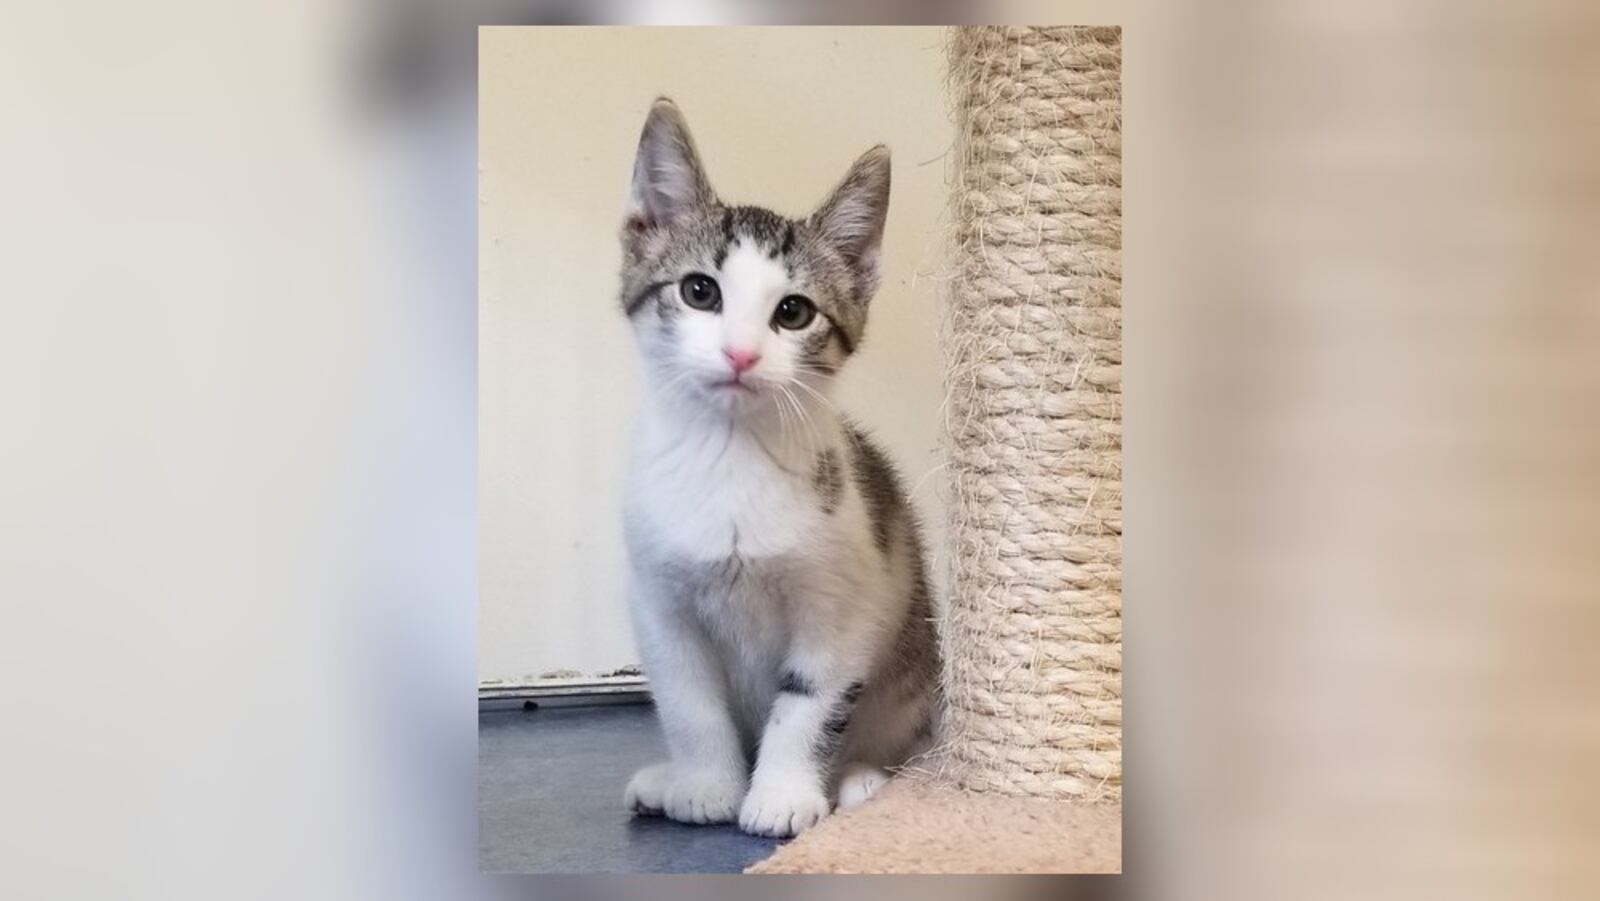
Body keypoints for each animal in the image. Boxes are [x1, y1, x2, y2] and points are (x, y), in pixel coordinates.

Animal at [614, 98, 934, 838]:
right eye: (699, 291)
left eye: (793, 311)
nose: (740, 353)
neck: (730, 458)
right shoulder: (658, 600)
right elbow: (689, 701)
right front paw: (705, 786)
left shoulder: (844, 604)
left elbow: (808, 700)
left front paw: (783, 794)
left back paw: (862, 778)